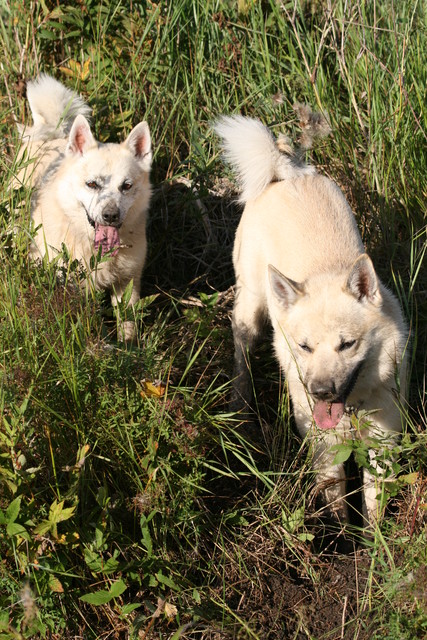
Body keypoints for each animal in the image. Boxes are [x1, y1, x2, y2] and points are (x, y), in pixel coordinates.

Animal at [17, 76, 154, 340]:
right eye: (92, 184)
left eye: (126, 186)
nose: (110, 215)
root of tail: (54, 132)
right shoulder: (73, 287)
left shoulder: (128, 282)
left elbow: (128, 326)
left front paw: (128, 348)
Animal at [216, 115, 410, 524]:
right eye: (305, 347)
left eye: (347, 344)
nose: (320, 391)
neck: (352, 409)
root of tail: (283, 174)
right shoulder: (325, 449)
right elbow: (335, 506)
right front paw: (339, 536)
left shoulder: (382, 446)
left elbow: (373, 510)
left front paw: (372, 539)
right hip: (252, 307)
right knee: (241, 351)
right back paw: (240, 405)